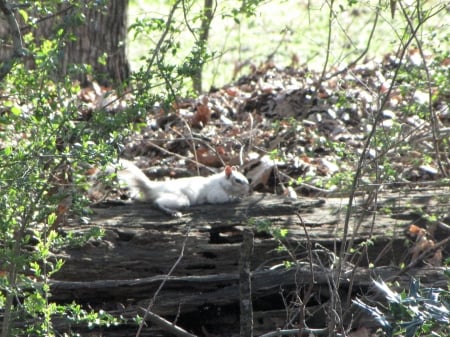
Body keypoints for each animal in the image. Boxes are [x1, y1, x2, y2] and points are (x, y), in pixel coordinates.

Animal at [98, 159, 250, 217]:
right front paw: (235, 198)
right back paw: (172, 212)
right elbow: (220, 199)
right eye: (237, 180)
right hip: (180, 199)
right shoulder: (215, 193)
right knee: (156, 203)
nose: (248, 188)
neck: (221, 182)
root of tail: (153, 188)